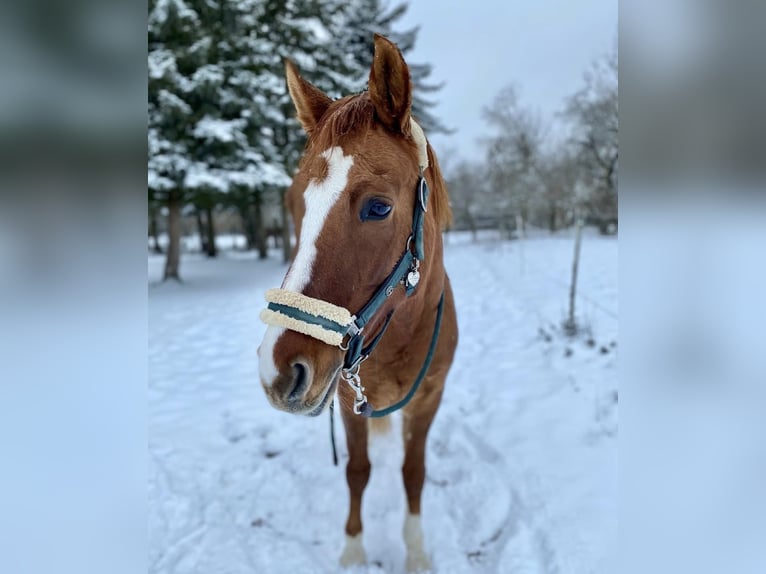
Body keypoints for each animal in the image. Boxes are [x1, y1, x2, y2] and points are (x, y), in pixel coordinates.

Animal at [257, 34, 458, 572]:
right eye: (294, 204)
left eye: (379, 207)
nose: (278, 371)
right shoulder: (346, 404)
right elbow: (358, 471)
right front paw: (352, 550)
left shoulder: (429, 399)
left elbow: (413, 471)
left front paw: (416, 552)